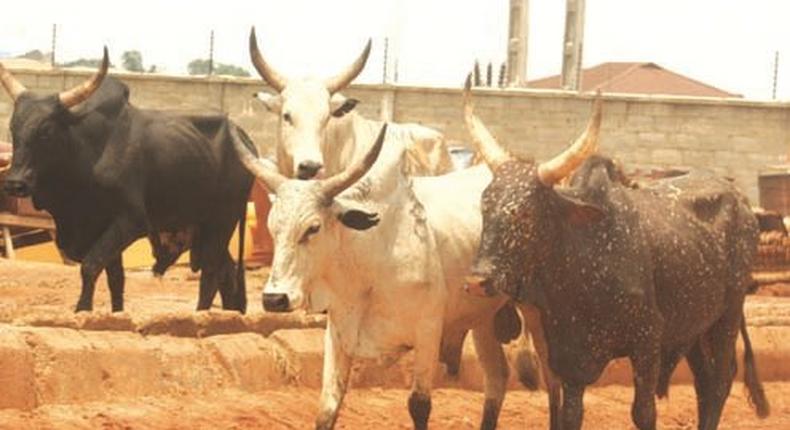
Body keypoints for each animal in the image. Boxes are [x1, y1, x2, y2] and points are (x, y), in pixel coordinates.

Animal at [0, 49, 254, 312]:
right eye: (13, 128)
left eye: (46, 130)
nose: (15, 183)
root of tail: (244, 138)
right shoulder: (101, 226)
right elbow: (116, 279)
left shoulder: (131, 220)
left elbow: (90, 265)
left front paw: (82, 309)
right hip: (204, 226)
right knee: (226, 271)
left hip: (223, 220)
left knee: (211, 272)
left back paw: (201, 315)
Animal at [232, 121, 524, 430]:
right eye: (272, 227)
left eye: (313, 227)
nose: (274, 299)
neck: (367, 270)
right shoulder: (338, 332)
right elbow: (328, 407)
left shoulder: (428, 332)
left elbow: (419, 404)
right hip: (484, 319)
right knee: (497, 377)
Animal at [460, 82, 772, 428]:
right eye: (485, 206)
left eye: (526, 212)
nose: (477, 281)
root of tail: (740, 198)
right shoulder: (569, 360)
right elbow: (570, 415)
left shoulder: (648, 342)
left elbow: (644, 413)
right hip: (694, 324)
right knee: (704, 382)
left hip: (727, 315)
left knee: (718, 382)